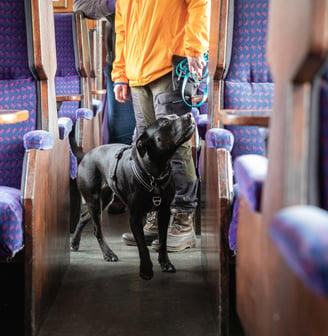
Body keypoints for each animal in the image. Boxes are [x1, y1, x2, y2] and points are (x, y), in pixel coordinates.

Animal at [71, 113, 196, 280]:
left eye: (175, 116)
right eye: (164, 124)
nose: (189, 114)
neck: (155, 173)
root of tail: (86, 155)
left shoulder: (164, 212)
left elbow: (163, 242)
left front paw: (165, 264)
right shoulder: (135, 217)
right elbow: (142, 246)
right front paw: (146, 270)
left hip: (103, 200)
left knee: (84, 217)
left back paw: (75, 242)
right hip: (94, 201)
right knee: (97, 230)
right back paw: (108, 254)